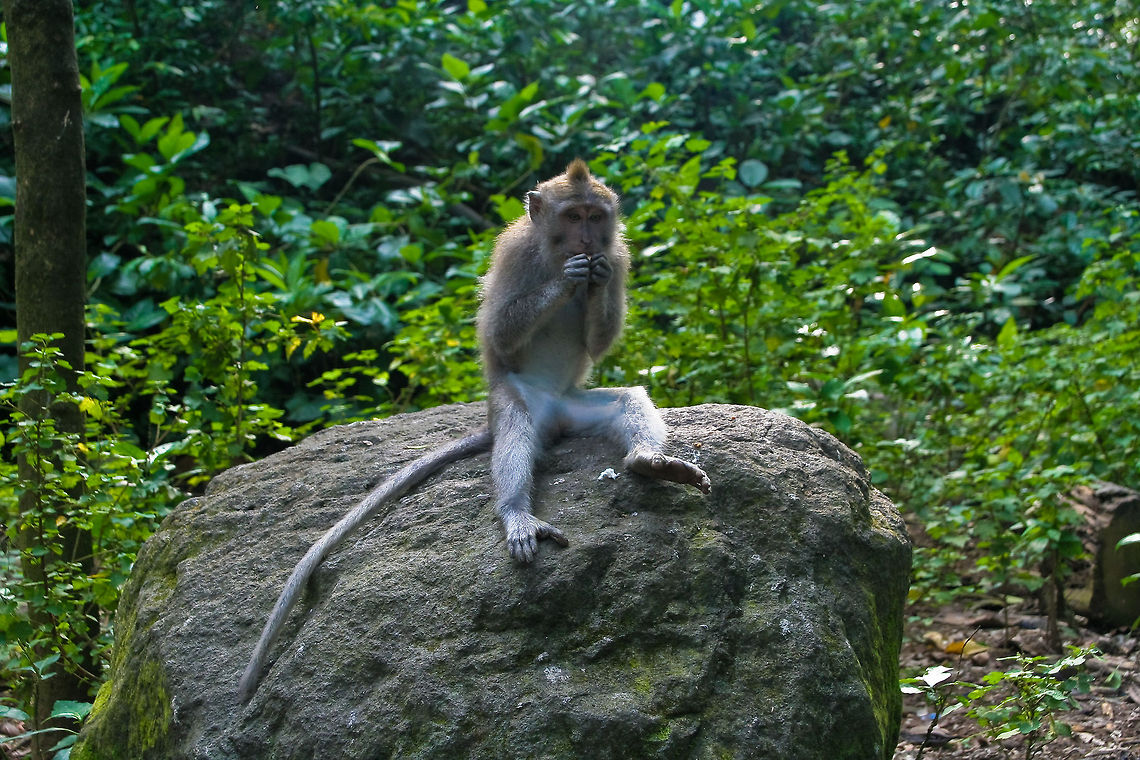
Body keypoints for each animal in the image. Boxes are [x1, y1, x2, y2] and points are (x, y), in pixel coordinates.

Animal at [237, 159, 710, 702]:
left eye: (595, 216)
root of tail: (553, 414)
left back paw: (649, 462)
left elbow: (600, 338)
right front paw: (565, 282)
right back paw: (516, 513)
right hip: (511, 400)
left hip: (573, 407)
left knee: (629, 399)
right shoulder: (515, 252)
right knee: (516, 430)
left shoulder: (619, 255)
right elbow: (499, 332)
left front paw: (594, 277)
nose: (588, 240)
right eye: (573, 216)